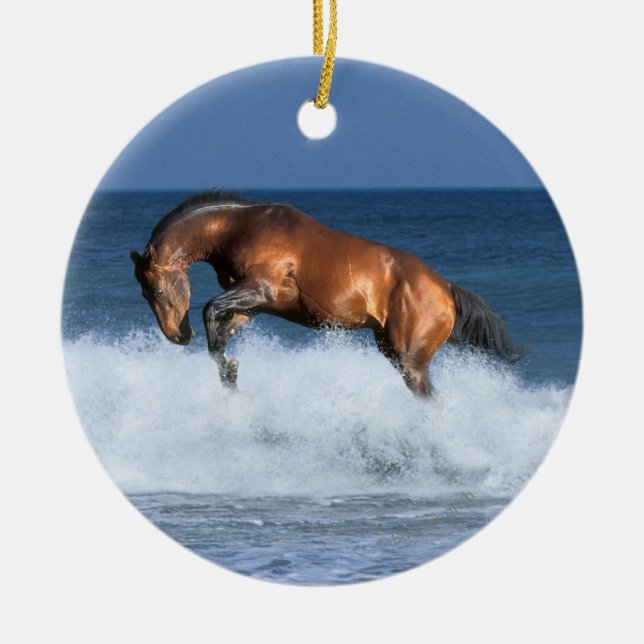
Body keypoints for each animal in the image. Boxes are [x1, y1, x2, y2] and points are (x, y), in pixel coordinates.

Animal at [131, 190, 522, 396]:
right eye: (144, 294)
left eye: (158, 289)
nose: (177, 336)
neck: (240, 227)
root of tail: (445, 289)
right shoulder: (252, 305)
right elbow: (220, 332)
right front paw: (230, 373)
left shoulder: (259, 289)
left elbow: (209, 310)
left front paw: (228, 370)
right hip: (391, 350)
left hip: (411, 362)